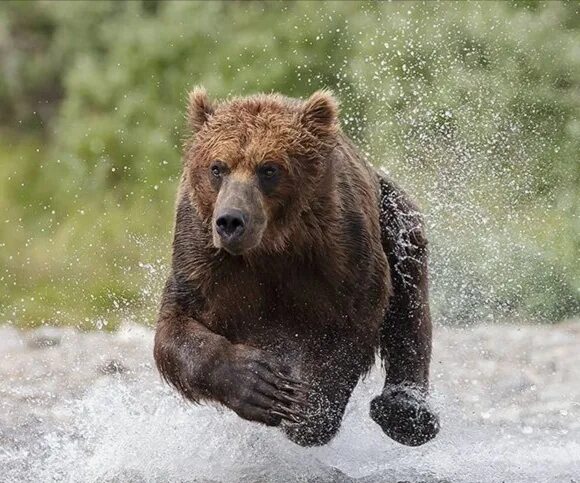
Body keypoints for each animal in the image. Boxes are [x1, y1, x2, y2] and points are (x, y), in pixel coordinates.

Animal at [154, 89, 440, 448]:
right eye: (217, 167)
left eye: (269, 169)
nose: (231, 221)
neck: (272, 247)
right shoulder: (201, 258)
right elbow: (176, 330)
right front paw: (260, 386)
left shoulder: (340, 251)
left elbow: (355, 323)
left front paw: (306, 412)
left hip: (393, 219)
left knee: (408, 298)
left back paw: (406, 410)